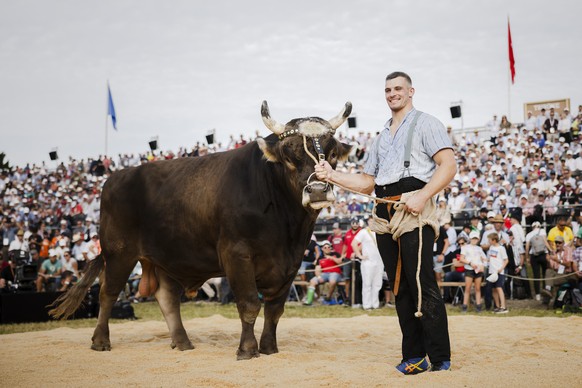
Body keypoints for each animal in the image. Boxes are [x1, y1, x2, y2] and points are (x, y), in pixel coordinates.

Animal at [51, 101, 352, 360]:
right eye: (289, 157)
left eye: (331, 154)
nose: (317, 190)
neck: (286, 227)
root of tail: (115, 177)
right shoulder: (236, 254)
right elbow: (249, 304)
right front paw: (247, 349)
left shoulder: (291, 262)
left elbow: (274, 310)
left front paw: (269, 349)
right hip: (118, 252)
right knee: (108, 293)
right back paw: (101, 341)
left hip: (164, 256)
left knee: (167, 298)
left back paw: (182, 342)